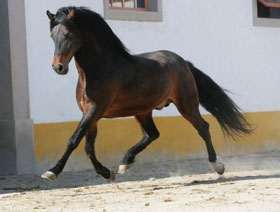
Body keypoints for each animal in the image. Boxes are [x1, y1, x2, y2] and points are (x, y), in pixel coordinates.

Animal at [41, 7, 252, 182]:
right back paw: (125, 163)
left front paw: (52, 172)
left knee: (203, 127)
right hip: (142, 110)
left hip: (186, 104)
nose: (58, 67)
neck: (98, 69)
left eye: (68, 34)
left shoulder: (94, 109)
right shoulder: (90, 113)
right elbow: (88, 148)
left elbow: (74, 140)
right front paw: (107, 173)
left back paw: (218, 165)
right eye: (51, 36)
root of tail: (183, 62)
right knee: (152, 134)